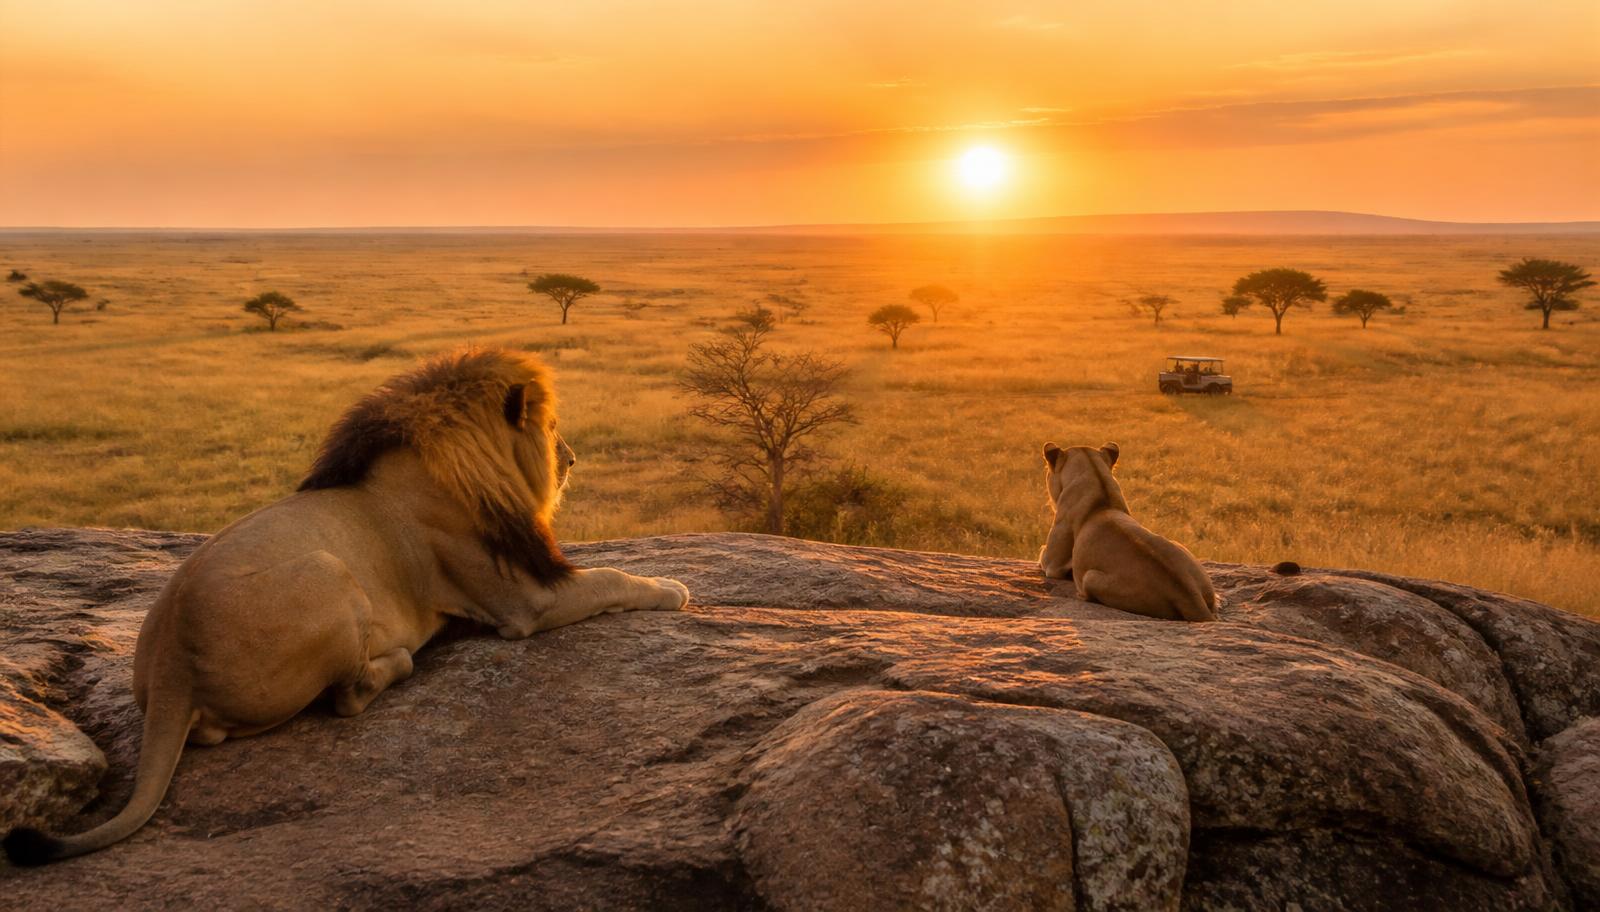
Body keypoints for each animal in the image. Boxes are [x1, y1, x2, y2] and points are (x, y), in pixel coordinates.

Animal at [4, 348, 689, 865]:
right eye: (549, 432)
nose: (572, 458)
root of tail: (174, 665)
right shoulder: (524, 601)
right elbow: (610, 579)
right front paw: (672, 588)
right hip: (328, 571)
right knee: (351, 695)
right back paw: (398, 660)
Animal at [1039, 442, 1217, 622]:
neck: (1098, 483)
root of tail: (1191, 596)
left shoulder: (1053, 565)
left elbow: (1043, 554)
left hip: (1090, 578)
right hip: (1185, 552)